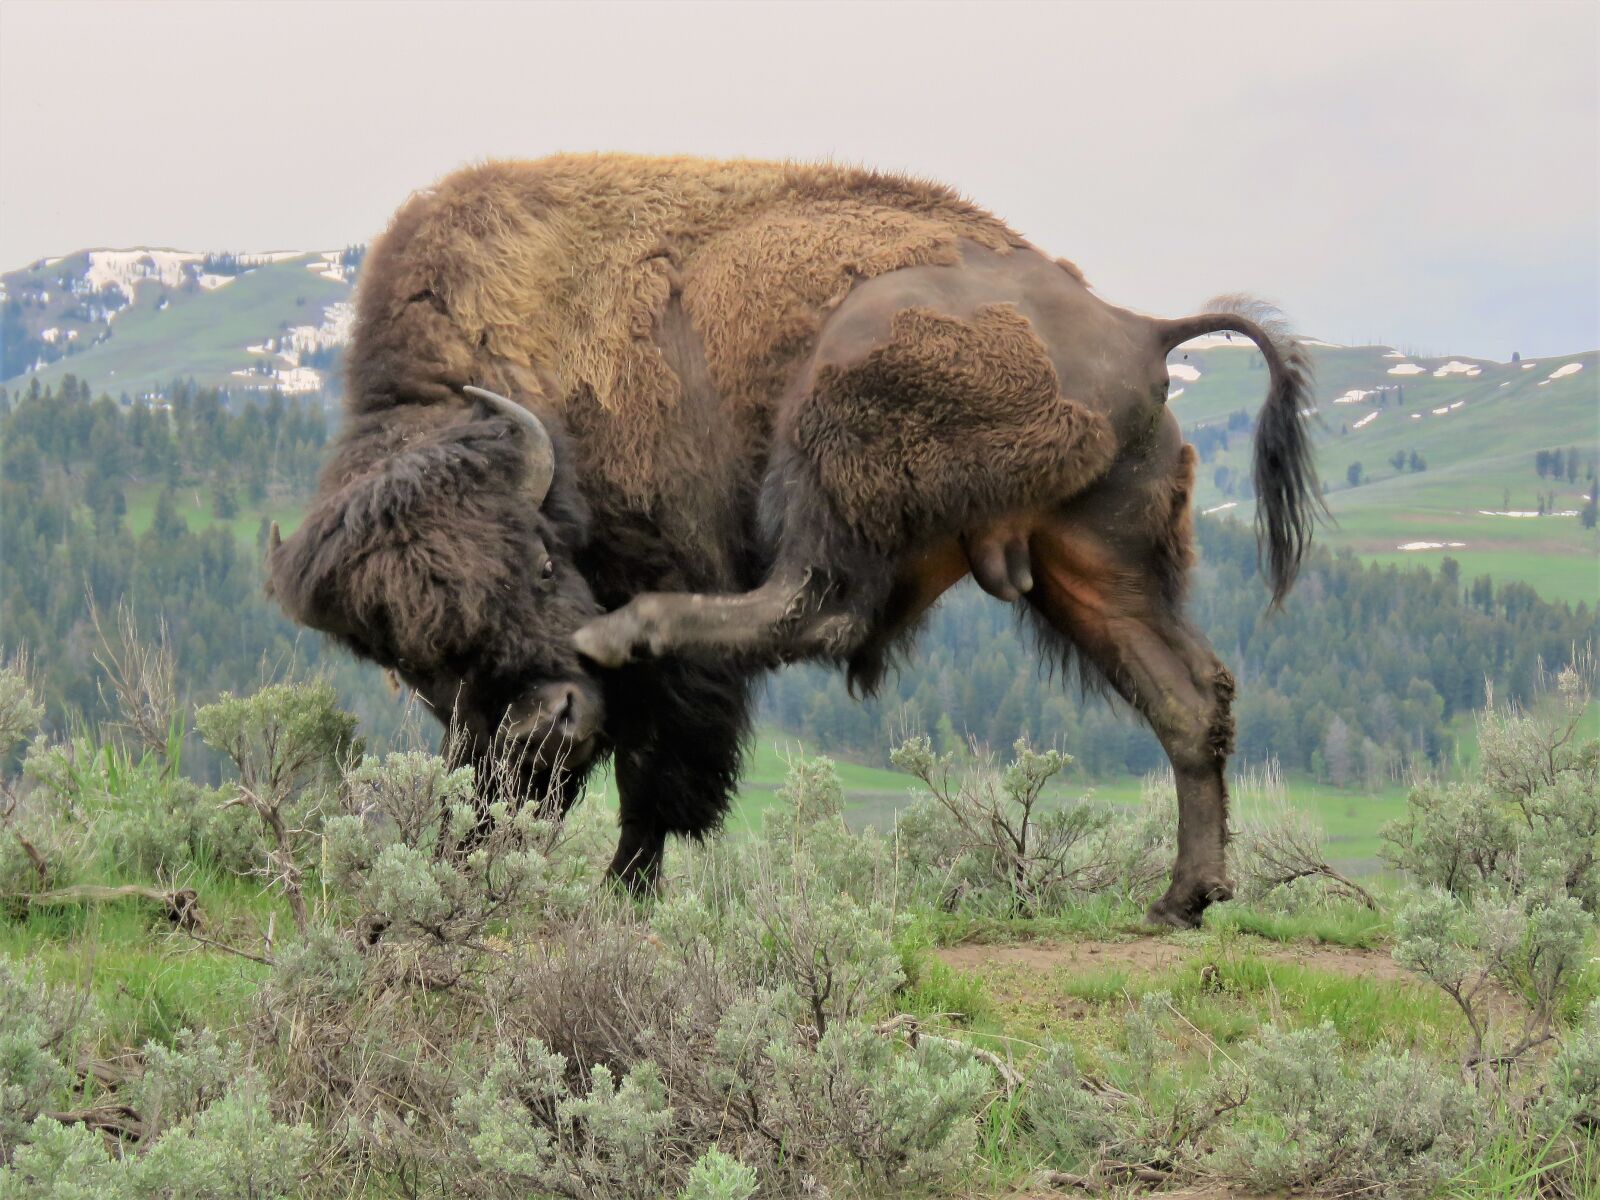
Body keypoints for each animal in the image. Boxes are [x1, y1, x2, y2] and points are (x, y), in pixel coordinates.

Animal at [268, 155, 1318, 928]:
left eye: (537, 561)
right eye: (424, 665)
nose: (548, 720)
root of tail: (1139, 329)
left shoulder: (673, 580)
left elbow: (658, 771)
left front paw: (622, 892)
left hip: (839, 408)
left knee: (818, 606)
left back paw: (628, 629)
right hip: (1093, 557)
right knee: (1187, 695)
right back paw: (1184, 899)